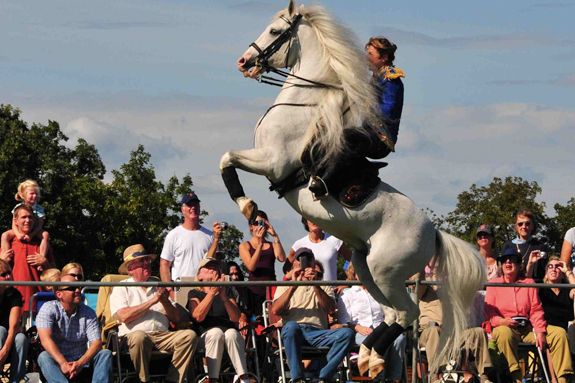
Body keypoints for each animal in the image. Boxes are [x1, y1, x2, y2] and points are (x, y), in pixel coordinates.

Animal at [220, 0, 486, 368]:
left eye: (275, 31)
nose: (243, 62)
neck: (302, 104)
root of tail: (434, 234)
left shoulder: (272, 160)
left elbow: (226, 158)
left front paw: (249, 208)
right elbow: (226, 159)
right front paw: (254, 213)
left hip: (385, 271)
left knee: (407, 313)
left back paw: (372, 356)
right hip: (365, 266)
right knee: (392, 313)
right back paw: (368, 355)